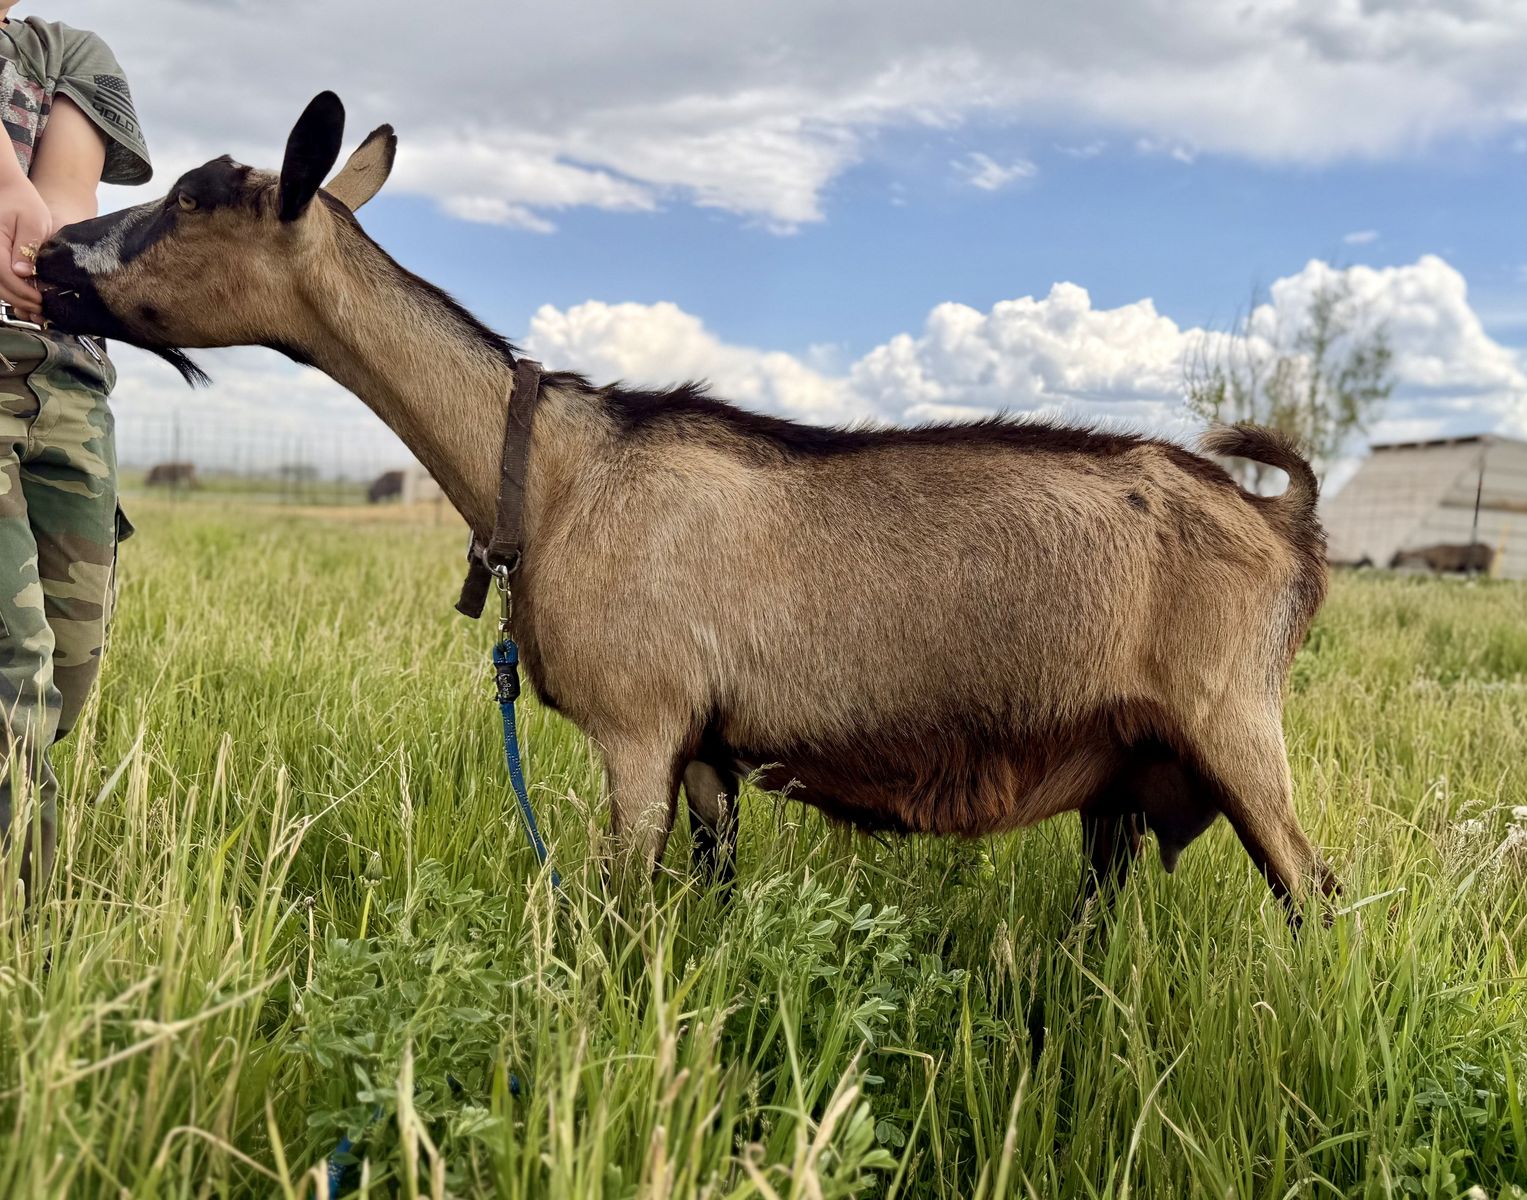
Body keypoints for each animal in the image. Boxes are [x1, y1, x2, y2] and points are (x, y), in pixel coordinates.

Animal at [35, 93, 1337, 913]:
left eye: (193, 198)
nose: (48, 256)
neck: (558, 470)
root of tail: (1286, 526)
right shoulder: (711, 748)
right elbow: (706, 907)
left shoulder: (640, 729)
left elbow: (621, 915)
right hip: (1128, 767)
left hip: (1236, 724)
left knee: (1319, 898)